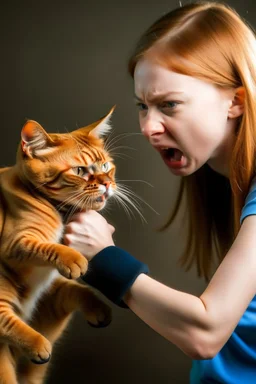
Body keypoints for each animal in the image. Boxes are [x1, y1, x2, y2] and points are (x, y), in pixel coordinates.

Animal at [0, 108, 115, 384]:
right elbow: (49, 248)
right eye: (80, 171)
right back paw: (37, 345)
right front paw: (73, 259)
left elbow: (79, 289)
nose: (107, 183)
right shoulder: (16, 241)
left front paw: (99, 309)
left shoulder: (52, 289)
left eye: (106, 166)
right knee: (3, 317)